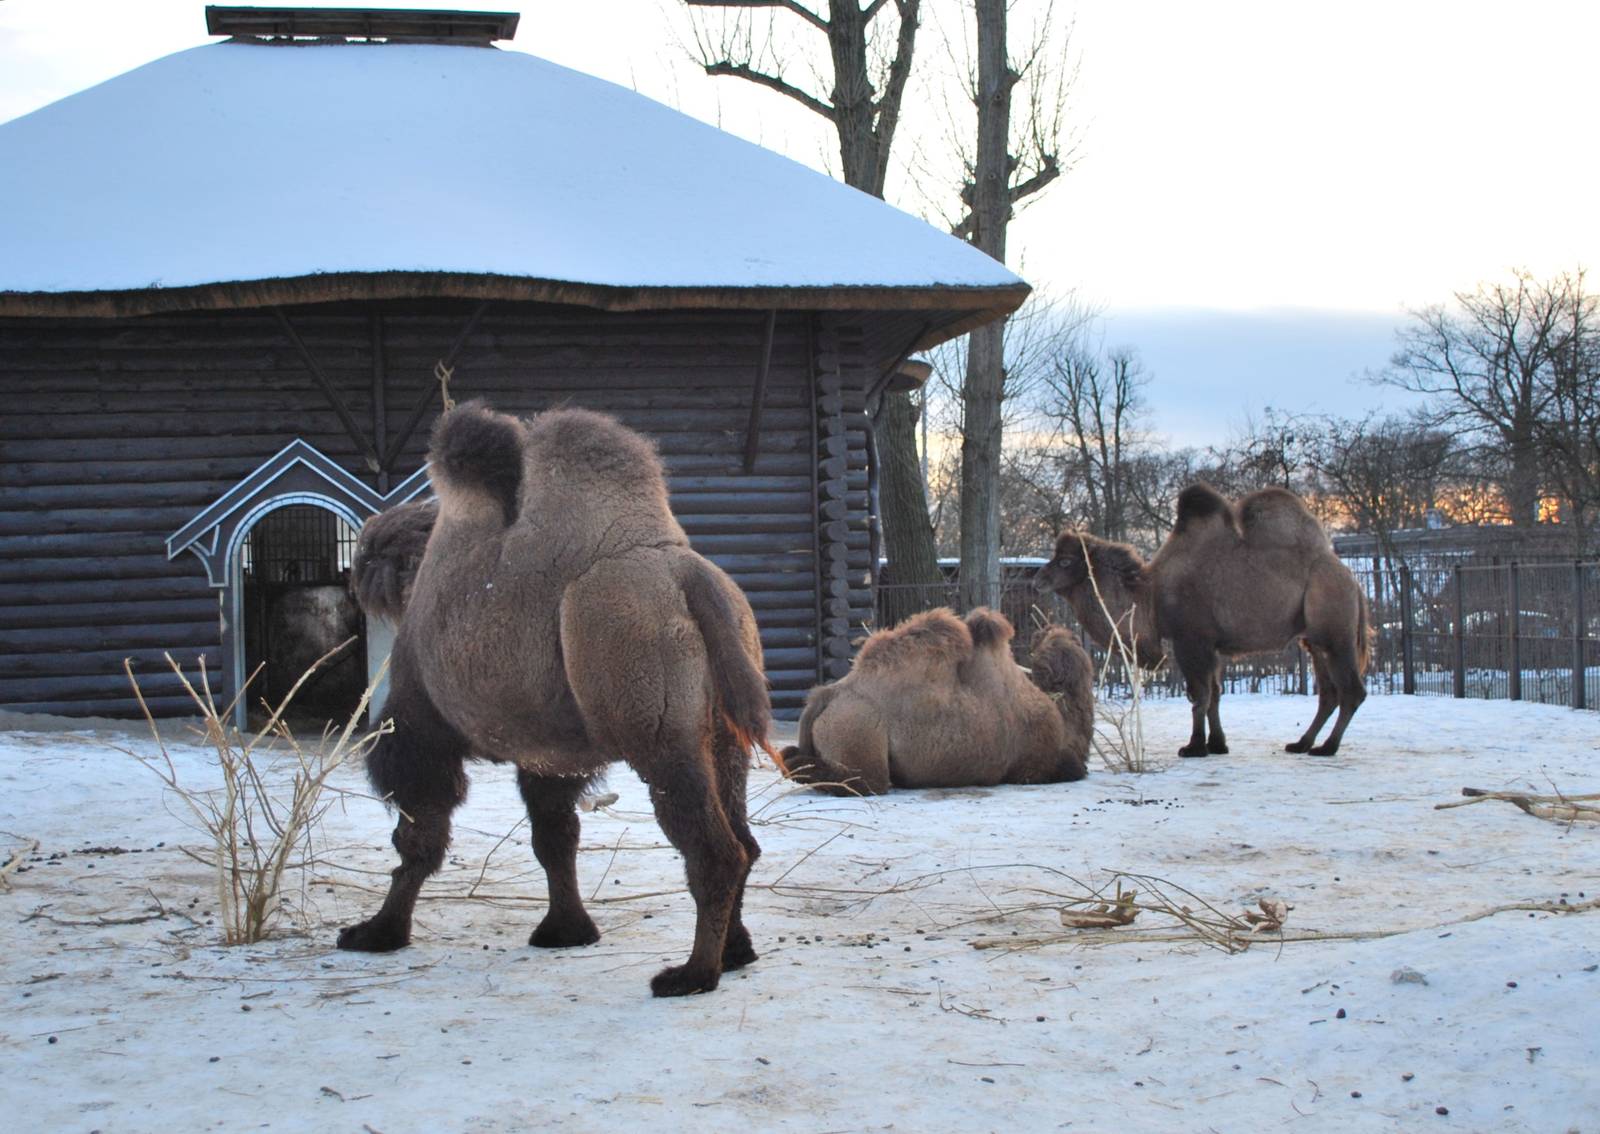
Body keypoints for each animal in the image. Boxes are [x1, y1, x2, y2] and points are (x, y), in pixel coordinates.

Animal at [338, 402, 771, 997]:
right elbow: (556, 836)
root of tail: (688, 578)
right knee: (744, 840)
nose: (358, 571)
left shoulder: (422, 719)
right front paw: (565, 931)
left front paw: (376, 932)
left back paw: (689, 975)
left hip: (656, 728)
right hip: (725, 734)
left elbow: (418, 835)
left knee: (713, 849)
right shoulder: (549, 756)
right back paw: (735, 952)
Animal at [782, 607, 1093, 794]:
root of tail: (826, 695)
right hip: (859, 734)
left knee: (790, 756)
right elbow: (1074, 769)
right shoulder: (1035, 765)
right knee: (866, 781)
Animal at [1033, 484, 1370, 758]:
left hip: (1335, 630)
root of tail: (1352, 580)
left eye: (1065, 561)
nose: (1038, 578)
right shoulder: (1212, 645)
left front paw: (1194, 747)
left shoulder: (1191, 639)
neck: (1151, 596)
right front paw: (1218, 745)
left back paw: (1327, 747)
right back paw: (1302, 743)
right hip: (1312, 639)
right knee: (1328, 692)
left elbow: (1199, 695)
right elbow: (1215, 695)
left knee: (1352, 690)